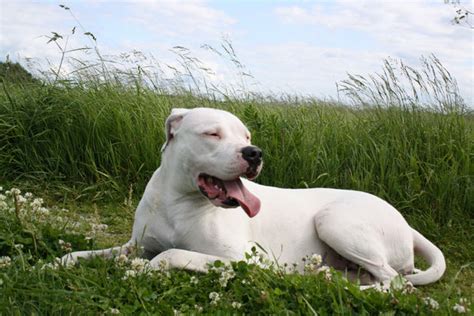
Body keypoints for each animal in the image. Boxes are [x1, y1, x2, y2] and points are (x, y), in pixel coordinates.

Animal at [62, 107, 444, 286]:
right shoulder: (135, 245)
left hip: (334, 220)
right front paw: (60, 262)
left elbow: (169, 254)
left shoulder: (245, 259)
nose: (254, 152)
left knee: (396, 283)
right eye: (213, 134)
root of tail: (404, 222)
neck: (178, 202)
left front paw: (144, 270)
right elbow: (86, 254)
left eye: (246, 135)